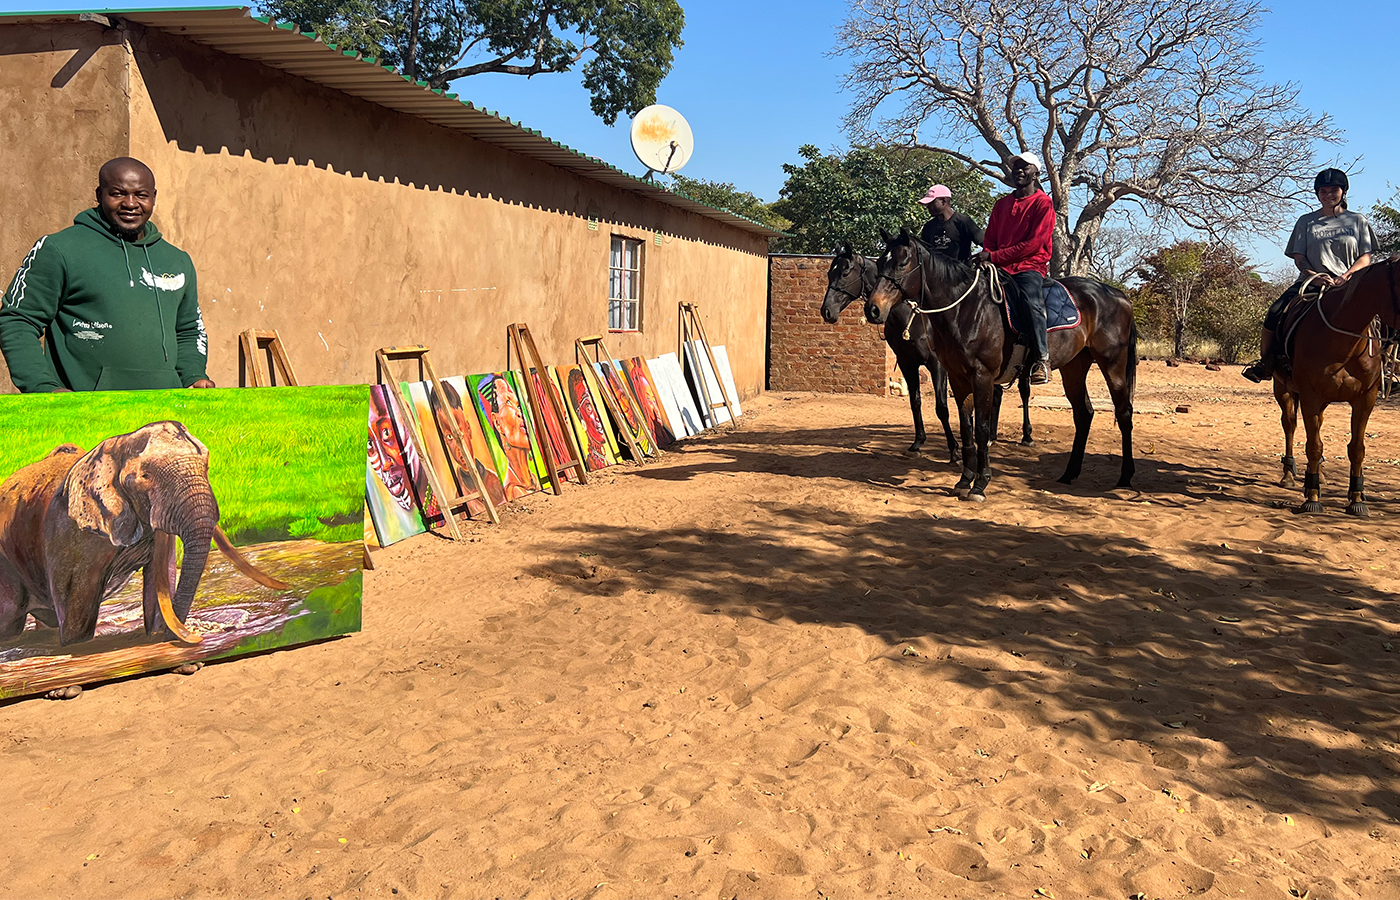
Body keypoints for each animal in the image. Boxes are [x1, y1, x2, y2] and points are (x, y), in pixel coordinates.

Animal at [0, 422, 288, 646]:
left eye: (206, 467)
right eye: (145, 476)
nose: (197, 637)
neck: (116, 445)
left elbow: (159, 586)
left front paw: (158, 635)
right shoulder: (71, 534)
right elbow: (76, 621)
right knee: (10, 618)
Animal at [817, 243, 1030, 461]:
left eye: (845, 272)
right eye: (829, 273)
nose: (826, 311)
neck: (909, 319)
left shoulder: (938, 366)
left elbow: (942, 407)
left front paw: (954, 449)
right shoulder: (907, 364)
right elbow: (915, 402)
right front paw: (918, 441)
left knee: (1023, 392)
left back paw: (1025, 435)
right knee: (996, 394)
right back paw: (991, 437)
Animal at [862, 229, 1136, 501]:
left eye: (902, 263)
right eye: (880, 263)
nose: (873, 309)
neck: (966, 309)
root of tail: (1119, 295)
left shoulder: (981, 376)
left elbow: (982, 429)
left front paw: (980, 484)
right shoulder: (958, 379)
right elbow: (966, 427)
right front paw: (965, 480)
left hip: (1113, 364)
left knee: (1124, 412)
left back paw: (1125, 477)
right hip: (1074, 368)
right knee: (1084, 413)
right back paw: (1069, 473)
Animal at [1276, 257, 1394, 517]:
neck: (1345, 343)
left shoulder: (1365, 399)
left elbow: (1357, 448)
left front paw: (1357, 499)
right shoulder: (1309, 396)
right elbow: (1313, 446)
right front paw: (1312, 498)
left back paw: (1319, 476)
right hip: (1284, 390)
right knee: (1290, 425)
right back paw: (1289, 475)